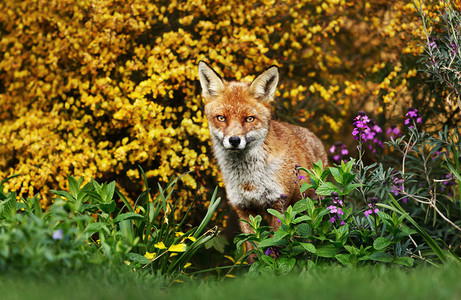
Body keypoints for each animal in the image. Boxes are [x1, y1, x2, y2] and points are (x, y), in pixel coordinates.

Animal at [198, 60, 328, 241]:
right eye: (221, 118)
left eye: (249, 119)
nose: (234, 140)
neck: (249, 180)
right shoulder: (243, 208)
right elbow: (254, 246)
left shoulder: (279, 203)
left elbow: (275, 244)